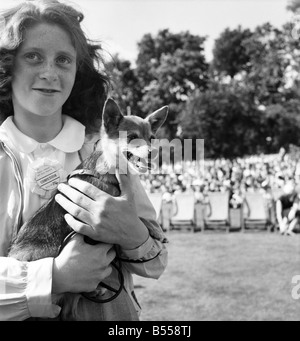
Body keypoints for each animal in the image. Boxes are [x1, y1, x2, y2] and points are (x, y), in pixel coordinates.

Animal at [8, 97, 169, 318]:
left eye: (151, 138)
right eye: (132, 138)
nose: (154, 152)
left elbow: (137, 216)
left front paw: (155, 229)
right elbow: (139, 216)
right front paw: (157, 230)